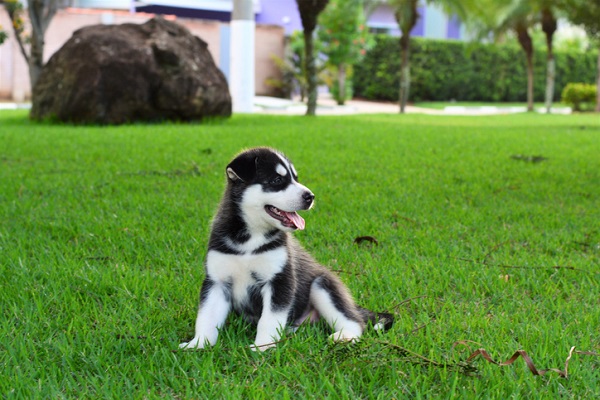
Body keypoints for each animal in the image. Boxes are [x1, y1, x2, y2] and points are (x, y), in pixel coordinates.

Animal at [178, 147, 394, 350]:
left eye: (295, 178)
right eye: (277, 180)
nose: (310, 196)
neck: (250, 239)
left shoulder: (279, 279)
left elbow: (269, 319)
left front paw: (263, 346)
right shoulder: (217, 281)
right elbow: (206, 317)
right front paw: (199, 343)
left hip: (323, 285)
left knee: (355, 322)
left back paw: (345, 336)